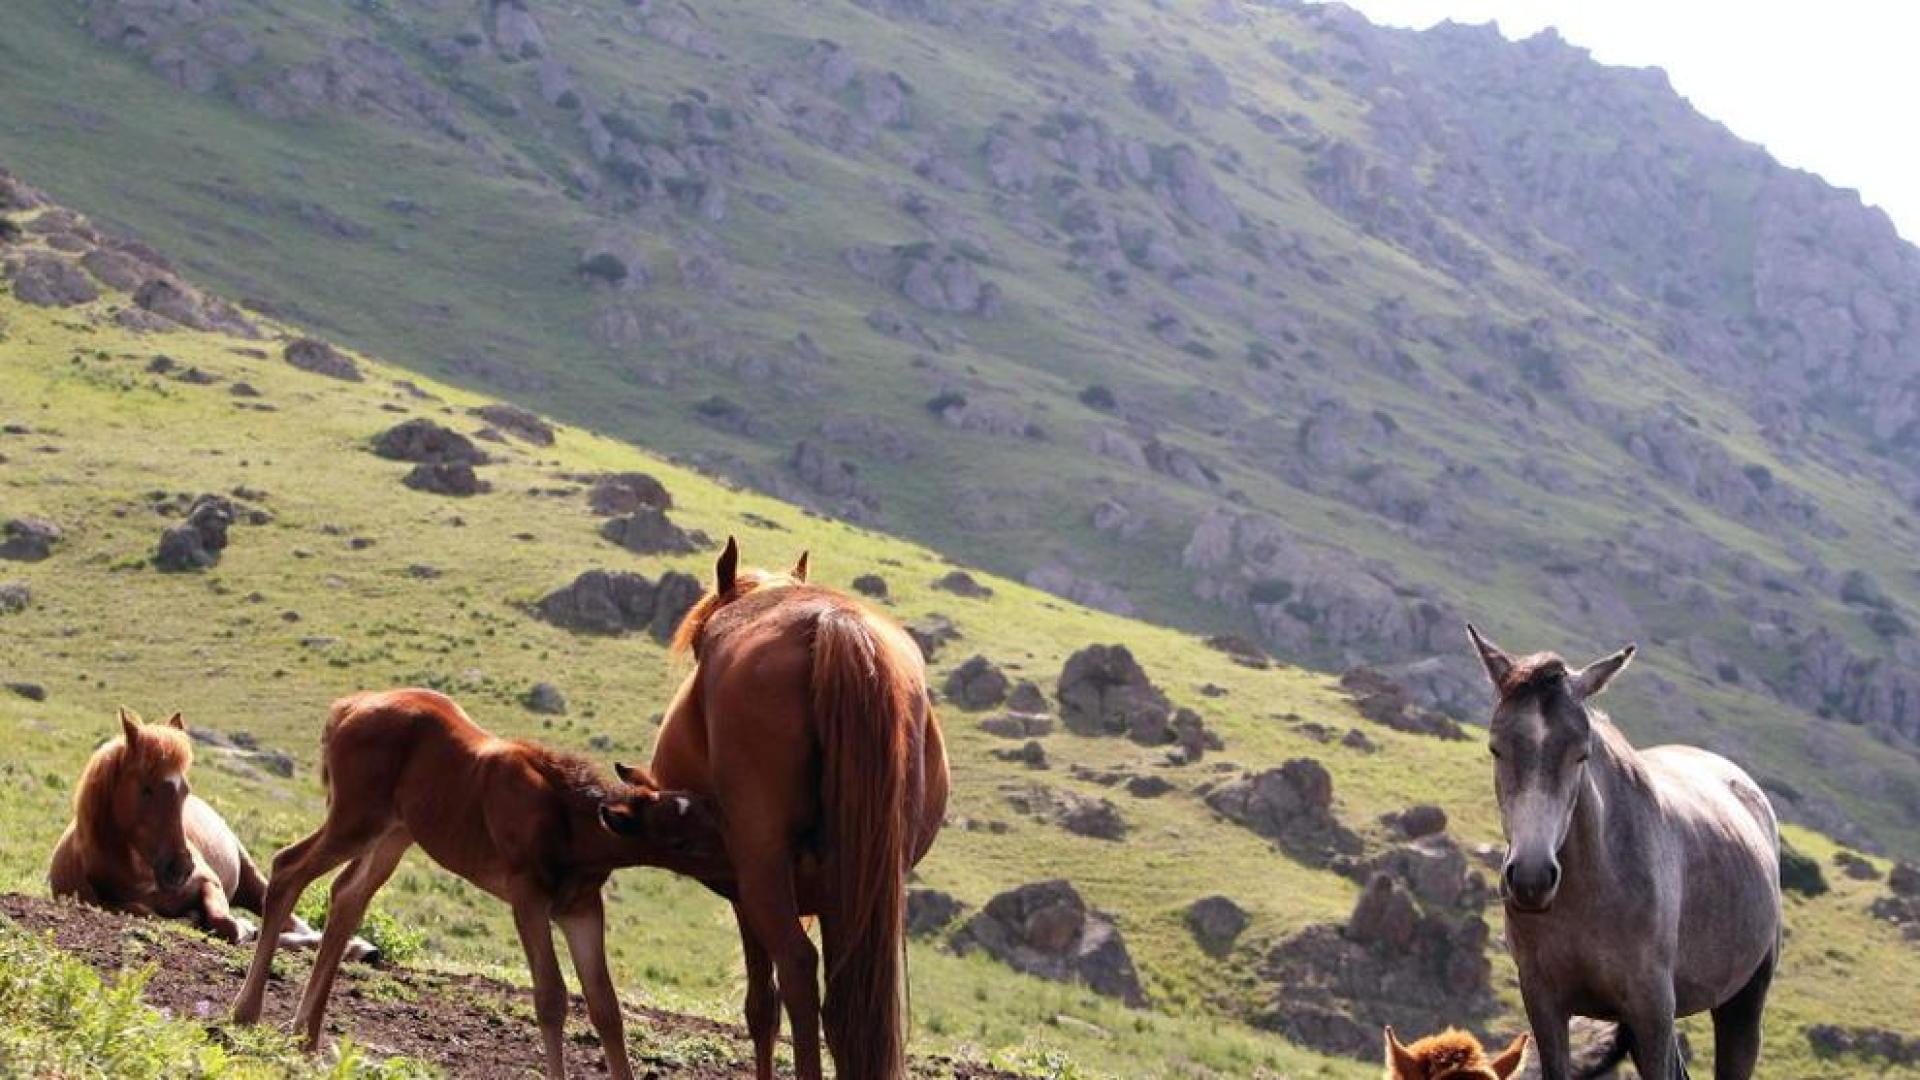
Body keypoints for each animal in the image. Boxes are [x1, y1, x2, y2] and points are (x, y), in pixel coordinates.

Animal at [48, 707, 364, 958]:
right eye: (146, 789)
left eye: (185, 790)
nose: (180, 867)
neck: (140, 872)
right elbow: (147, 911)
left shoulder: (210, 882)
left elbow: (226, 923)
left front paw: (240, 928)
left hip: (249, 874)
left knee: (288, 918)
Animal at [229, 689, 725, 1080]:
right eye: (681, 842)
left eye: (704, 809)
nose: (732, 863)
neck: (572, 826)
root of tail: (344, 709)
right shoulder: (528, 897)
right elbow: (552, 996)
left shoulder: (580, 906)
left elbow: (606, 1006)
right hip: (354, 818)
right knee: (289, 867)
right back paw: (246, 1014)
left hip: (394, 832)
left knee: (347, 895)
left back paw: (305, 1037)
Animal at [605, 538, 949, 1080]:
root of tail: (833, 624)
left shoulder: (743, 889)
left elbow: (761, 1007)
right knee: (845, 1001)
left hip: (762, 871)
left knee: (798, 972)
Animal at [1467, 626, 1781, 1080]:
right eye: (1496, 748)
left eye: (1581, 753)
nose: (1531, 879)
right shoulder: (1545, 1003)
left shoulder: (1652, 1010)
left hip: (1742, 1003)